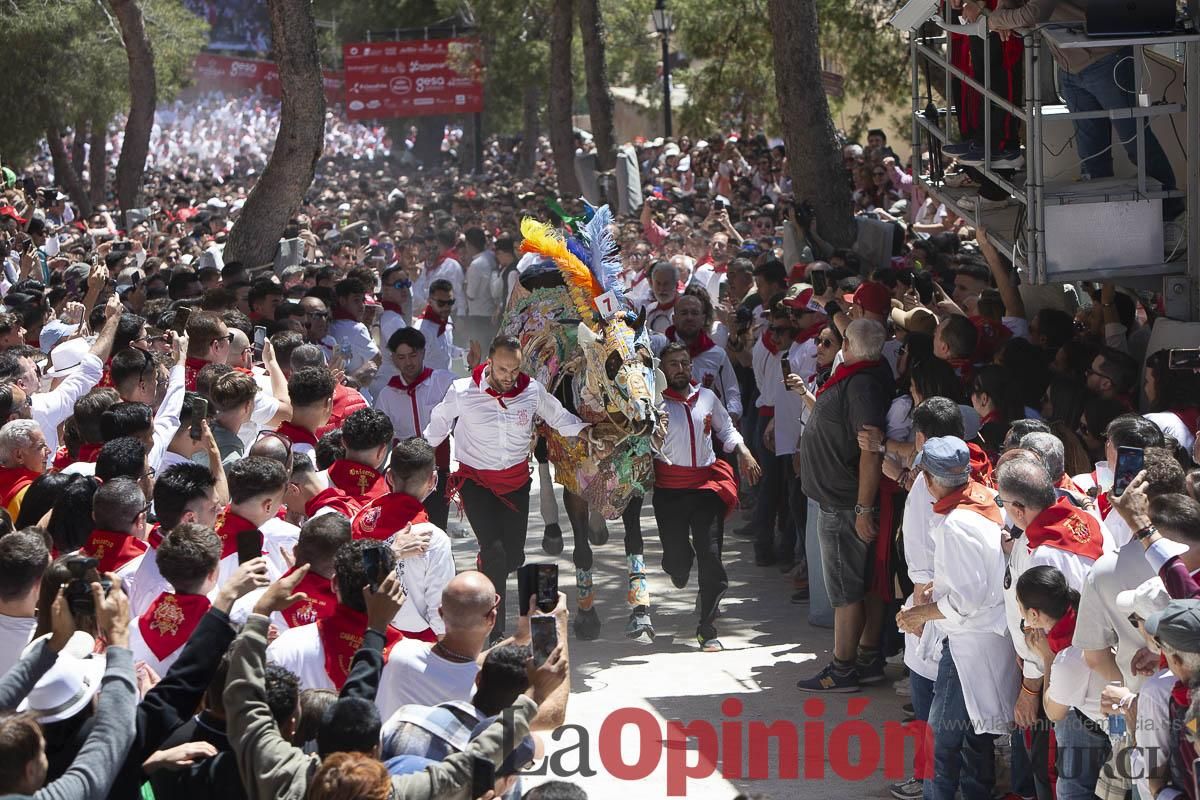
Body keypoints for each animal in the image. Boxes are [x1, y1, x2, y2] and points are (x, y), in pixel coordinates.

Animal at [501, 203, 662, 642]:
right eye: (611, 364)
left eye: (647, 359)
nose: (646, 415)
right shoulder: (572, 472)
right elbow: (582, 549)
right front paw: (588, 617)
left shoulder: (635, 475)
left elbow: (635, 541)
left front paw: (641, 613)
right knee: (541, 463)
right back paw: (553, 531)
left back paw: (598, 526)